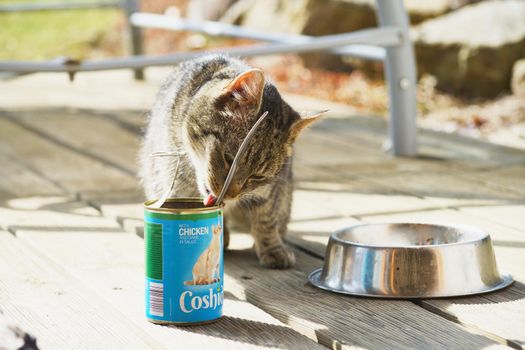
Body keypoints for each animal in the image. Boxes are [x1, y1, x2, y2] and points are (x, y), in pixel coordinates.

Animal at [138, 54, 324, 268]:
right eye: (229, 158)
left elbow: (266, 219)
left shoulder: (268, 193)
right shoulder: (175, 189)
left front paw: (273, 248)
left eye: (258, 176)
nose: (231, 194)